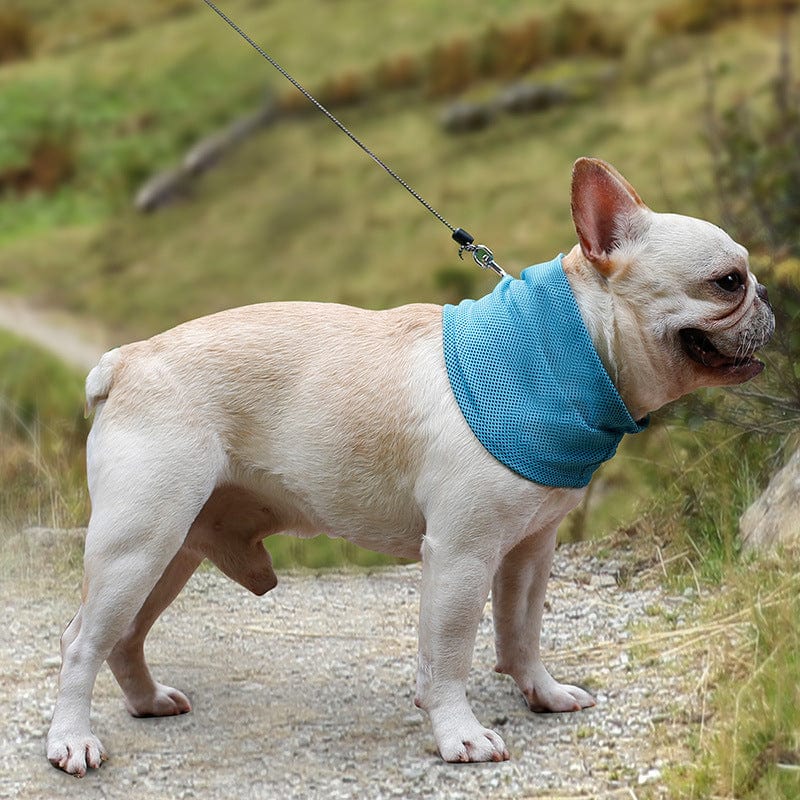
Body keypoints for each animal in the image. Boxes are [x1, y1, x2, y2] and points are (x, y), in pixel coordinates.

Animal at [47, 158, 772, 776]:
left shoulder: (530, 549)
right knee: (83, 640)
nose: (768, 299)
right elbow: (449, 652)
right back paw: (73, 740)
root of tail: (127, 360)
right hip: (137, 542)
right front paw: (460, 735)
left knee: (125, 635)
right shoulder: (461, 553)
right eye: (728, 281)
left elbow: (522, 631)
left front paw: (541, 692)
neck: (570, 354)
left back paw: (146, 701)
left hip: (172, 549)